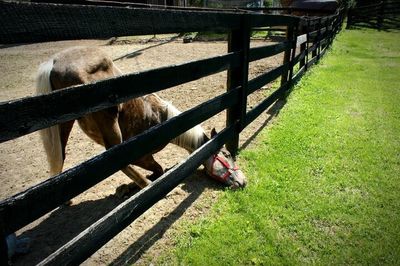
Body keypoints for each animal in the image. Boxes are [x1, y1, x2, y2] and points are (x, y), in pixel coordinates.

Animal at [36, 46, 247, 193]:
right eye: (226, 155)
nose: (243, 181)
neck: (164, 120)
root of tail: (53, 62)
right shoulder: (142, 156)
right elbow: (159, 169)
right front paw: (133, 186)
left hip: (64, 123)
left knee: (61, 156)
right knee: (115, 159)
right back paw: (144, 185)